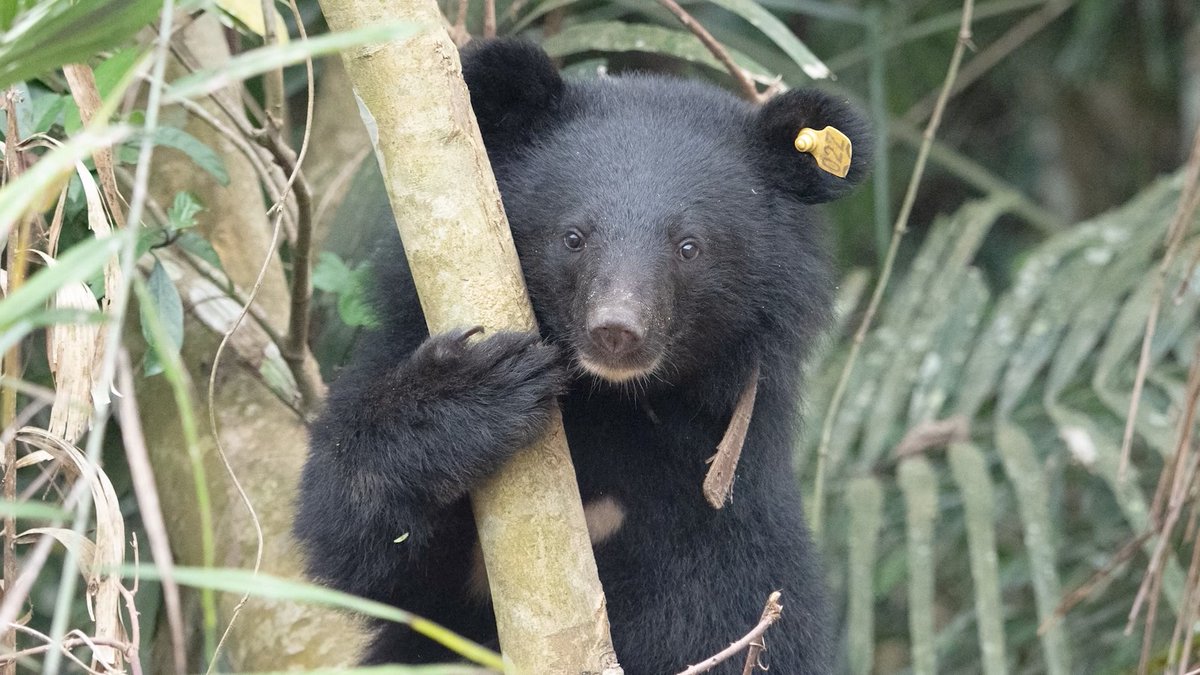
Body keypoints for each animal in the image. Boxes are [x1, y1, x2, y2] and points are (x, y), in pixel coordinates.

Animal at [294, 38, 870, 674]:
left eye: (689, 247)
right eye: (573, 237)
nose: (616, 331)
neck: (614, 400)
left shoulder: (728, 502)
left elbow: (711, 614)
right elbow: (355, 539)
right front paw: (480, 386)